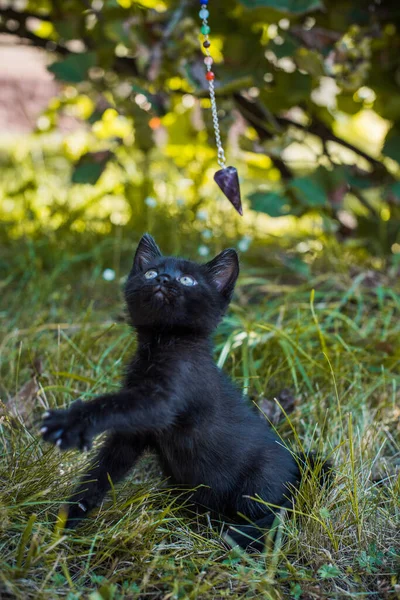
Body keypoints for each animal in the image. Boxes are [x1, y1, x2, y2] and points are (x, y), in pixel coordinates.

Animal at [40, 233, 328, 548]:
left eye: (188, 280)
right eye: (150, 272)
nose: (163, 279)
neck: (162, 343)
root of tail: (297, 467)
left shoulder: (166, 398)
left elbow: (112, 404)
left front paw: (68, 422)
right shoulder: (133, 434)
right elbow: (103, 471)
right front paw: (67, 519)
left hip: (258, 484)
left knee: (280, 515)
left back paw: (236, 533)